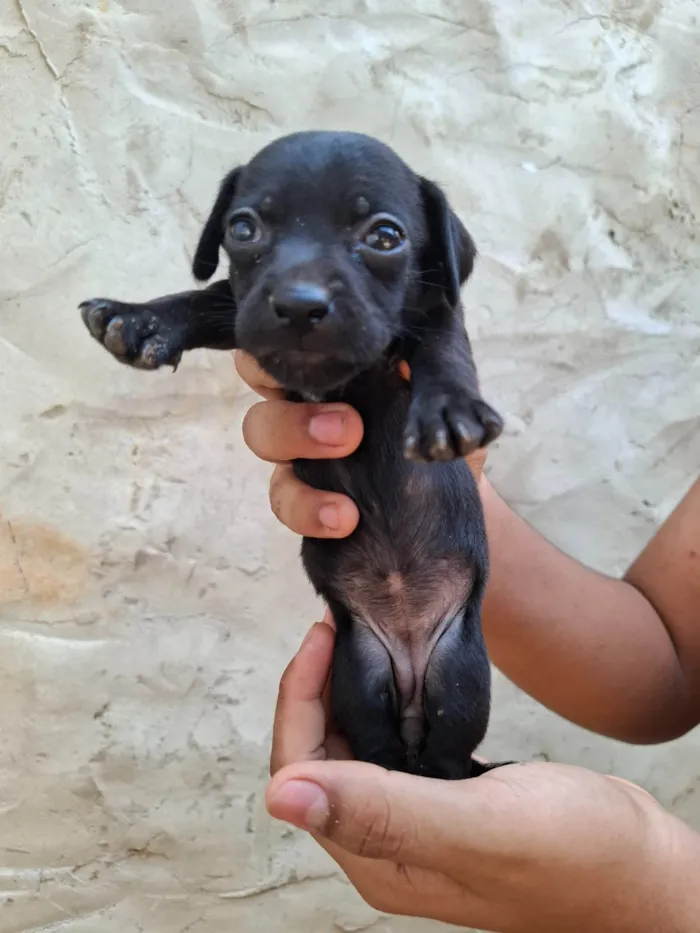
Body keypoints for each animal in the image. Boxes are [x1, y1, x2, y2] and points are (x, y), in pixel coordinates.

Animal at [80, 127, 504, 776]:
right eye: (243, 228)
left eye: (385, 237)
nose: (300, 304)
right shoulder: (242, 309)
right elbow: (212, 296)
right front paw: (141, 318)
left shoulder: (434, 309)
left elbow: (443, 344)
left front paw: (448, 409)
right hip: (358, 671)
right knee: (378, 739)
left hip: (458, 675)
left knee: (450, 754)